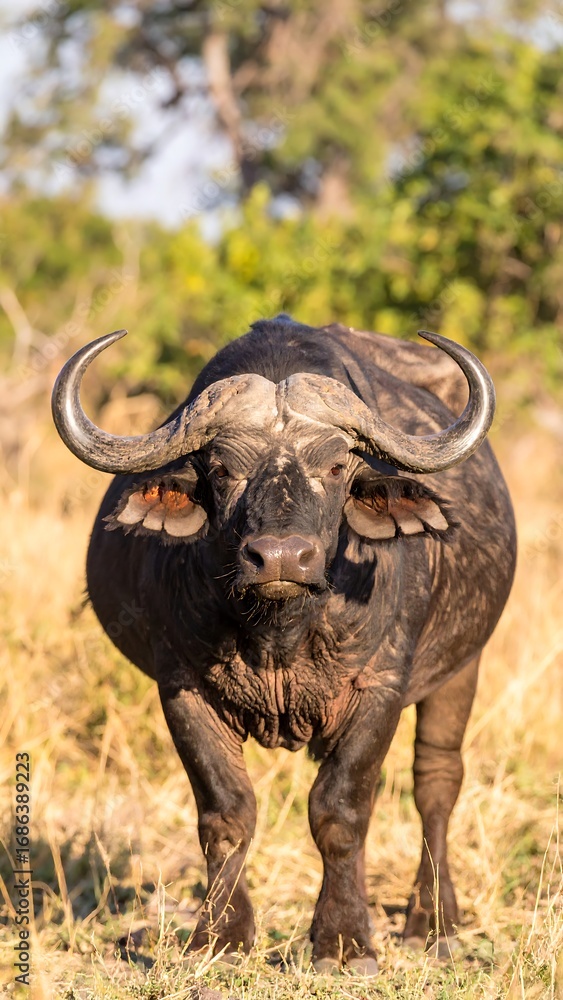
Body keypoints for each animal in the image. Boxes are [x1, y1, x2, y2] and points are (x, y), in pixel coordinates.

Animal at [52, 315, 516, 975]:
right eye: (221, 468)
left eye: (338, 466)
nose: (279, 558)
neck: (281, 634)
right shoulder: (182, 690)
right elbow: (226, 813)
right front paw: (221, 937)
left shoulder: (379, 690)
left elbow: (340, 811)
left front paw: (346, 943)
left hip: (462, 667)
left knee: (436, 783)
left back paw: (434, 923)